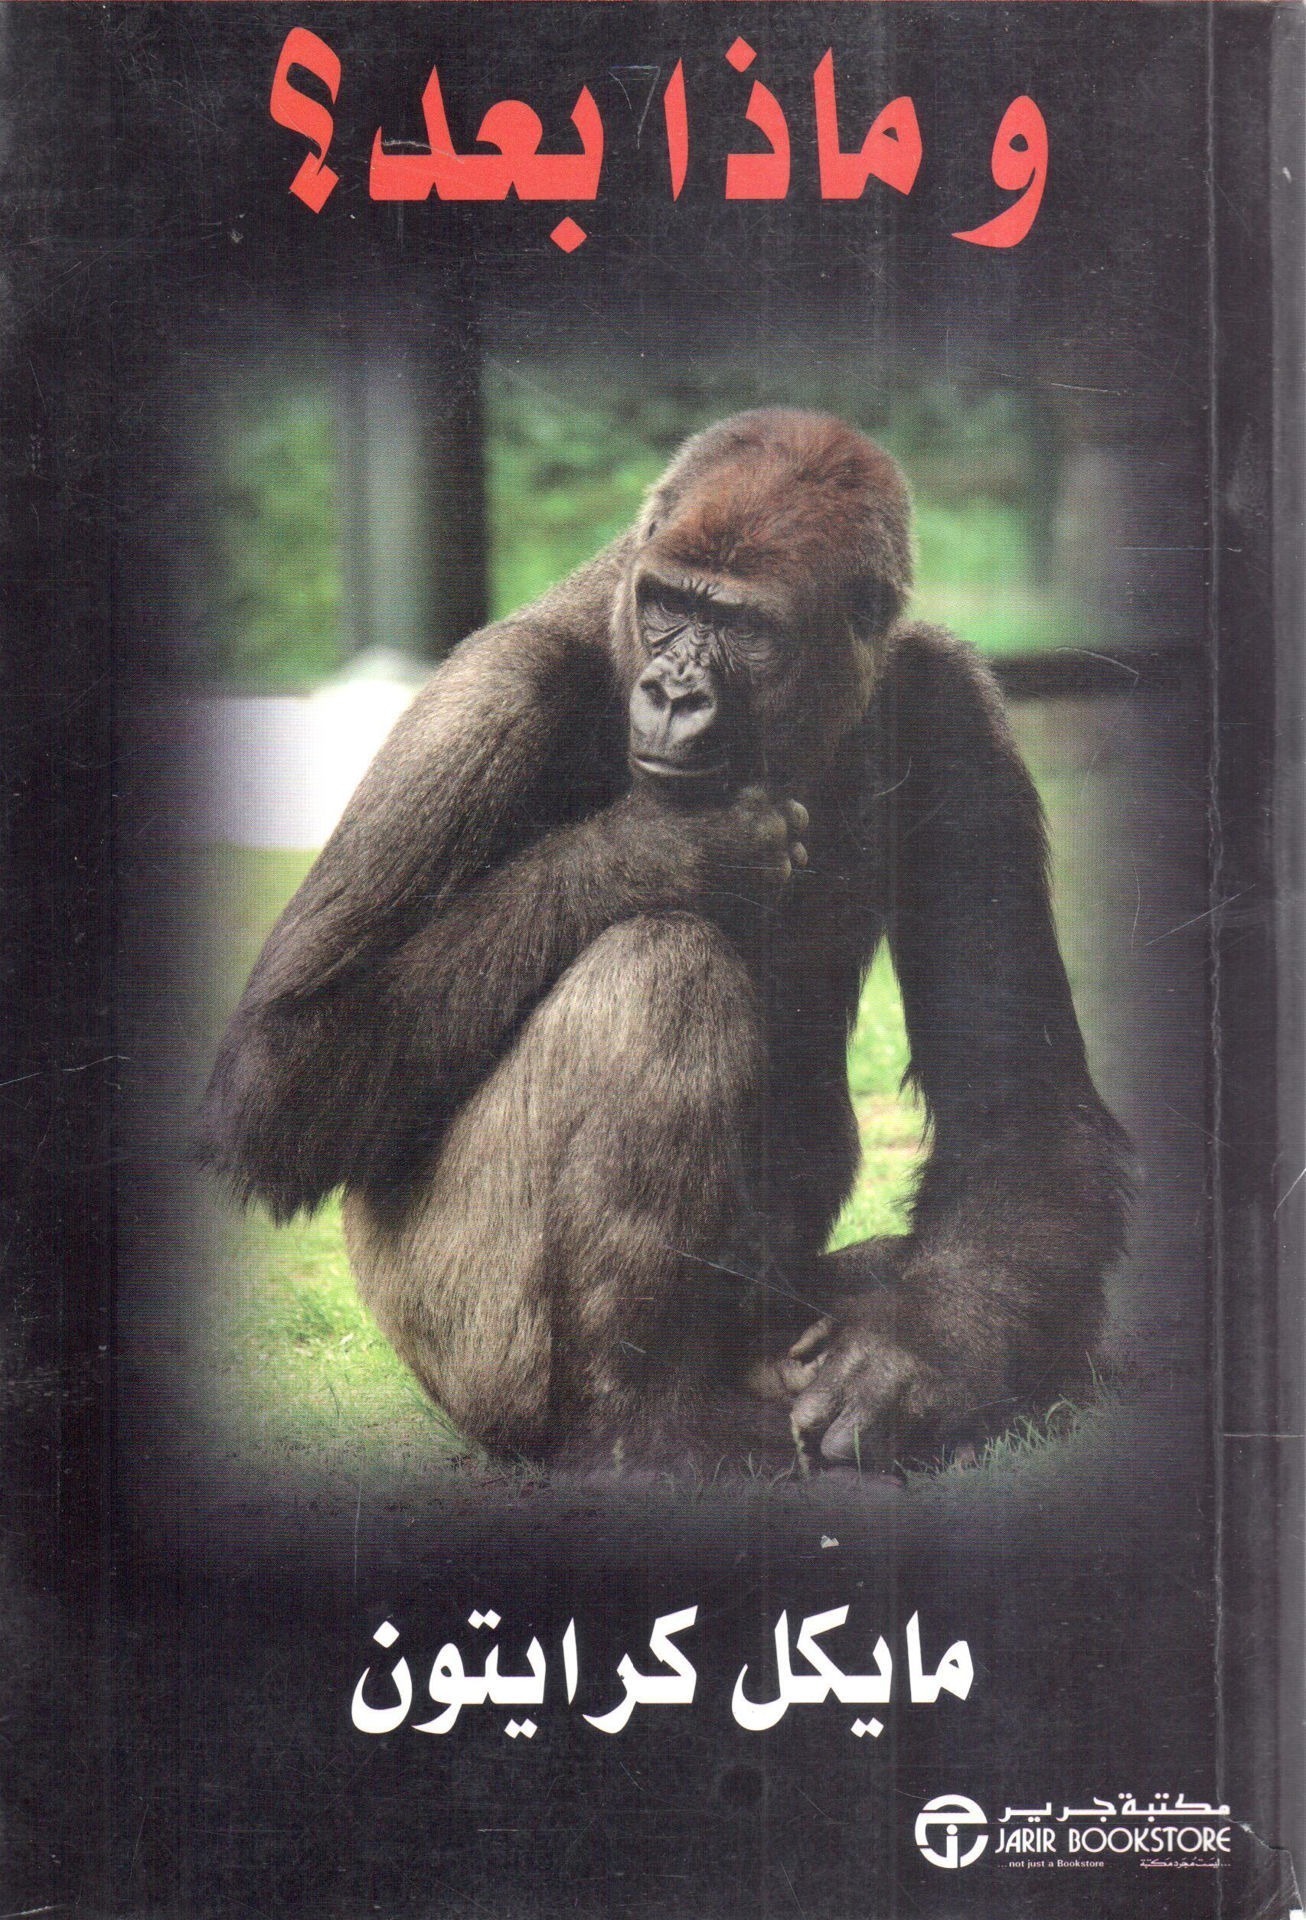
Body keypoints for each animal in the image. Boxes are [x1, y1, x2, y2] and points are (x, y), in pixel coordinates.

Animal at [199, 408, 1129, 1476]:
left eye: (744, 627)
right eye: (670, 605)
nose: (677, 693)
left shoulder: (957, 714)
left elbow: (1020, 1111)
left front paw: (916, 1359)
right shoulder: (486, 699)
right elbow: (284, 1067)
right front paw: (661, 850)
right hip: (461, 1352)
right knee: (661, 968)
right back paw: (638, 1426)